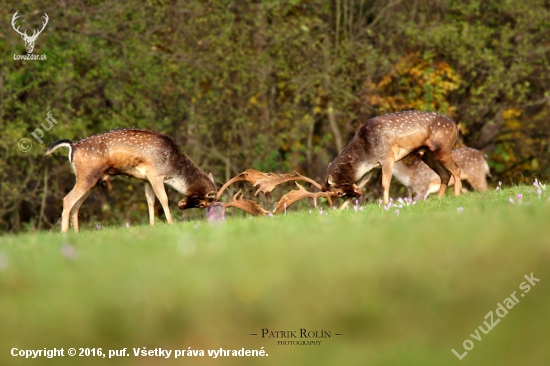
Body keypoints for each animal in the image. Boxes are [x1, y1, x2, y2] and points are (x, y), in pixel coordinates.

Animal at [46, 129, 218, 232]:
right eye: (202, 204)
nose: (181, 206)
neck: (172, 169)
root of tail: (72, 146)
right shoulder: (155, 174)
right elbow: (163, 198)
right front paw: (171, 222)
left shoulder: (146, 179)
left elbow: (150, 201)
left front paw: (152, 225)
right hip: (87, 176)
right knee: (67, 199)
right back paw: (64, 233)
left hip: (90, 180)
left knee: (76, 205)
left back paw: (76, 233)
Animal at [322, 110, 464, 204]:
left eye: (338, 193)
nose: (358, 195)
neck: (365, 156)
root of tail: (456, 126)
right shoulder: (372, 169)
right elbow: (361, 184)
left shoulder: (387, 157)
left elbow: (385, 184)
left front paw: (385, 204)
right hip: (428, 155)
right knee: (445, 174)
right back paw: (439, 199)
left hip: (443, 149)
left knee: (456, 170)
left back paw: (456, 196)